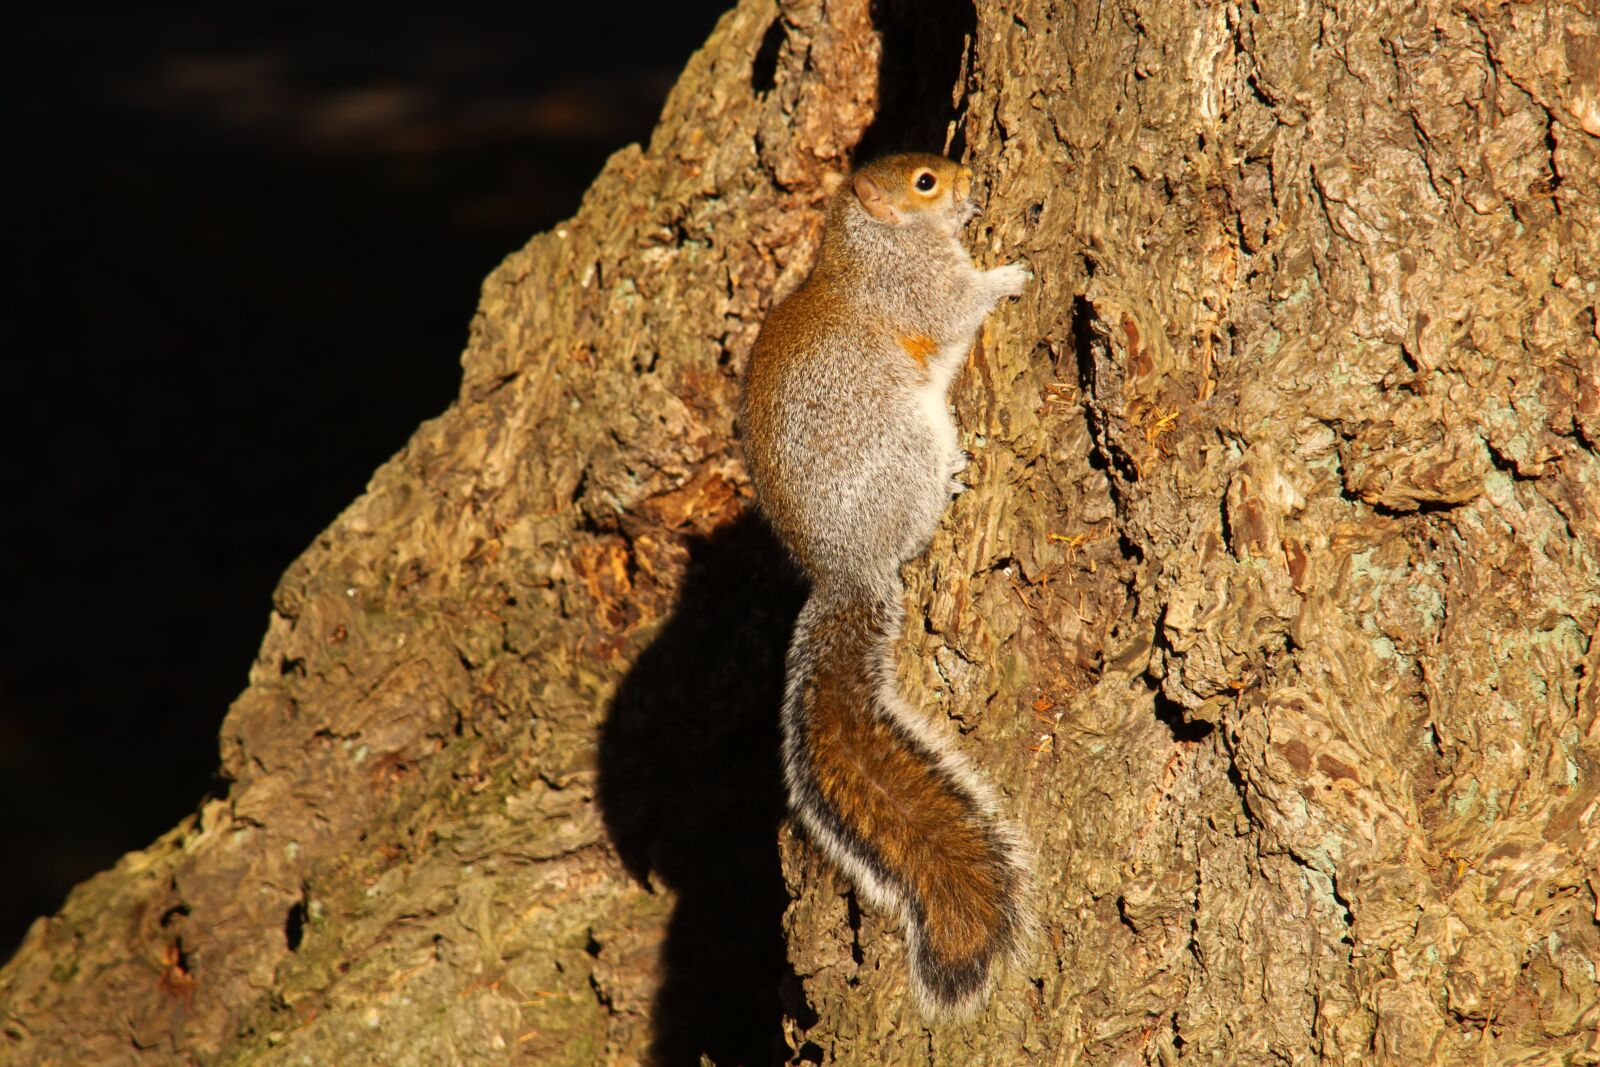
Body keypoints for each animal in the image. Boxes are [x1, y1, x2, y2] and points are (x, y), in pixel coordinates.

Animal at [739, 153, 1032, 1015]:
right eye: (926, 182)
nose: (968, 181)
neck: (869, 243)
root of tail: (847, 568)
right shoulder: (918, 290)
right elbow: (958, 302)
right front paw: (1009, 272)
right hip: (904, 443)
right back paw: (952, 481)